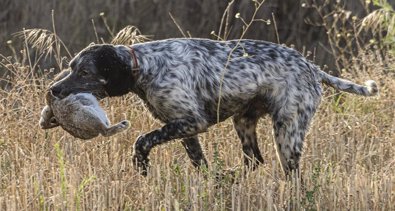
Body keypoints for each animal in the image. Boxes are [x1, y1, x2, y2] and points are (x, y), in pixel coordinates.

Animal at [48, 38, 378, 175]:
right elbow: (199, 163)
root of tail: (312, 67)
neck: (146, 66)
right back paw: (231, 177)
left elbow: (142, 140)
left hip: (287, 131)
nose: (54, 90)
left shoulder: (193, 122)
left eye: (85, 72)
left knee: (290, 172)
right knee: (254, 161)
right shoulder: (183, 128)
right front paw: (211, 181)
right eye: (71, 67)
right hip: (244, 122)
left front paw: (141, 165)